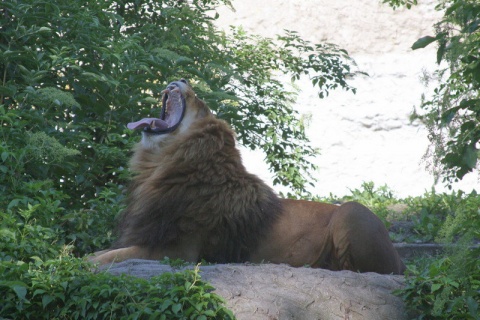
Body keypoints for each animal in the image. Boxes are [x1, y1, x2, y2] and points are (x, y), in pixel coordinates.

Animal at [91, 79, 404, 274]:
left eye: (200, 102)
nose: (182, 78)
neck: (158, 167)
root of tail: (400, 260)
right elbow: (97, 254)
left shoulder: (179, 250)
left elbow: (105, 258)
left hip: (352, 211)